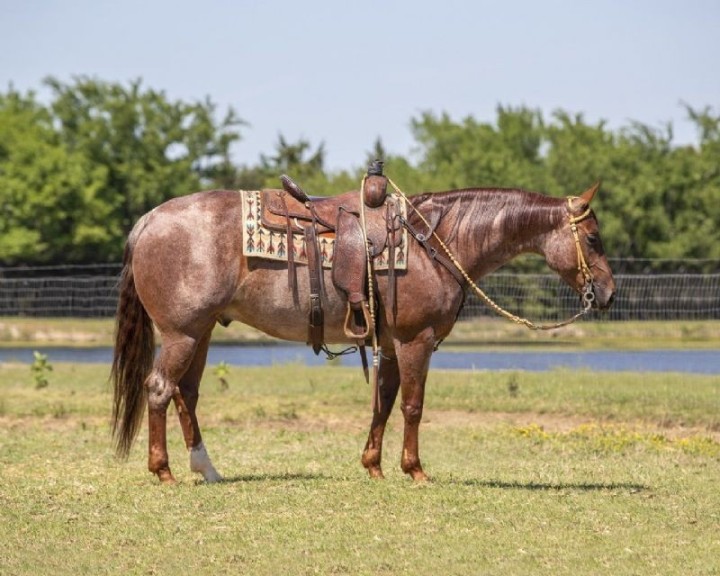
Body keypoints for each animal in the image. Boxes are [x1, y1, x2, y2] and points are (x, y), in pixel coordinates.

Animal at [111, 181, 616, 483]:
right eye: (593, 238)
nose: (608, 293)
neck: (433, 242)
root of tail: (149, 220)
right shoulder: (416, 341)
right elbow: (412, 406)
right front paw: (415, 470)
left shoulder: (390, 344)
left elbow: (384, 403)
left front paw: (374, 466)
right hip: (181, 333)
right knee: (160, 388)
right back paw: (164, 471)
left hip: (200, 332)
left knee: (186, 394)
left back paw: (207, 468)